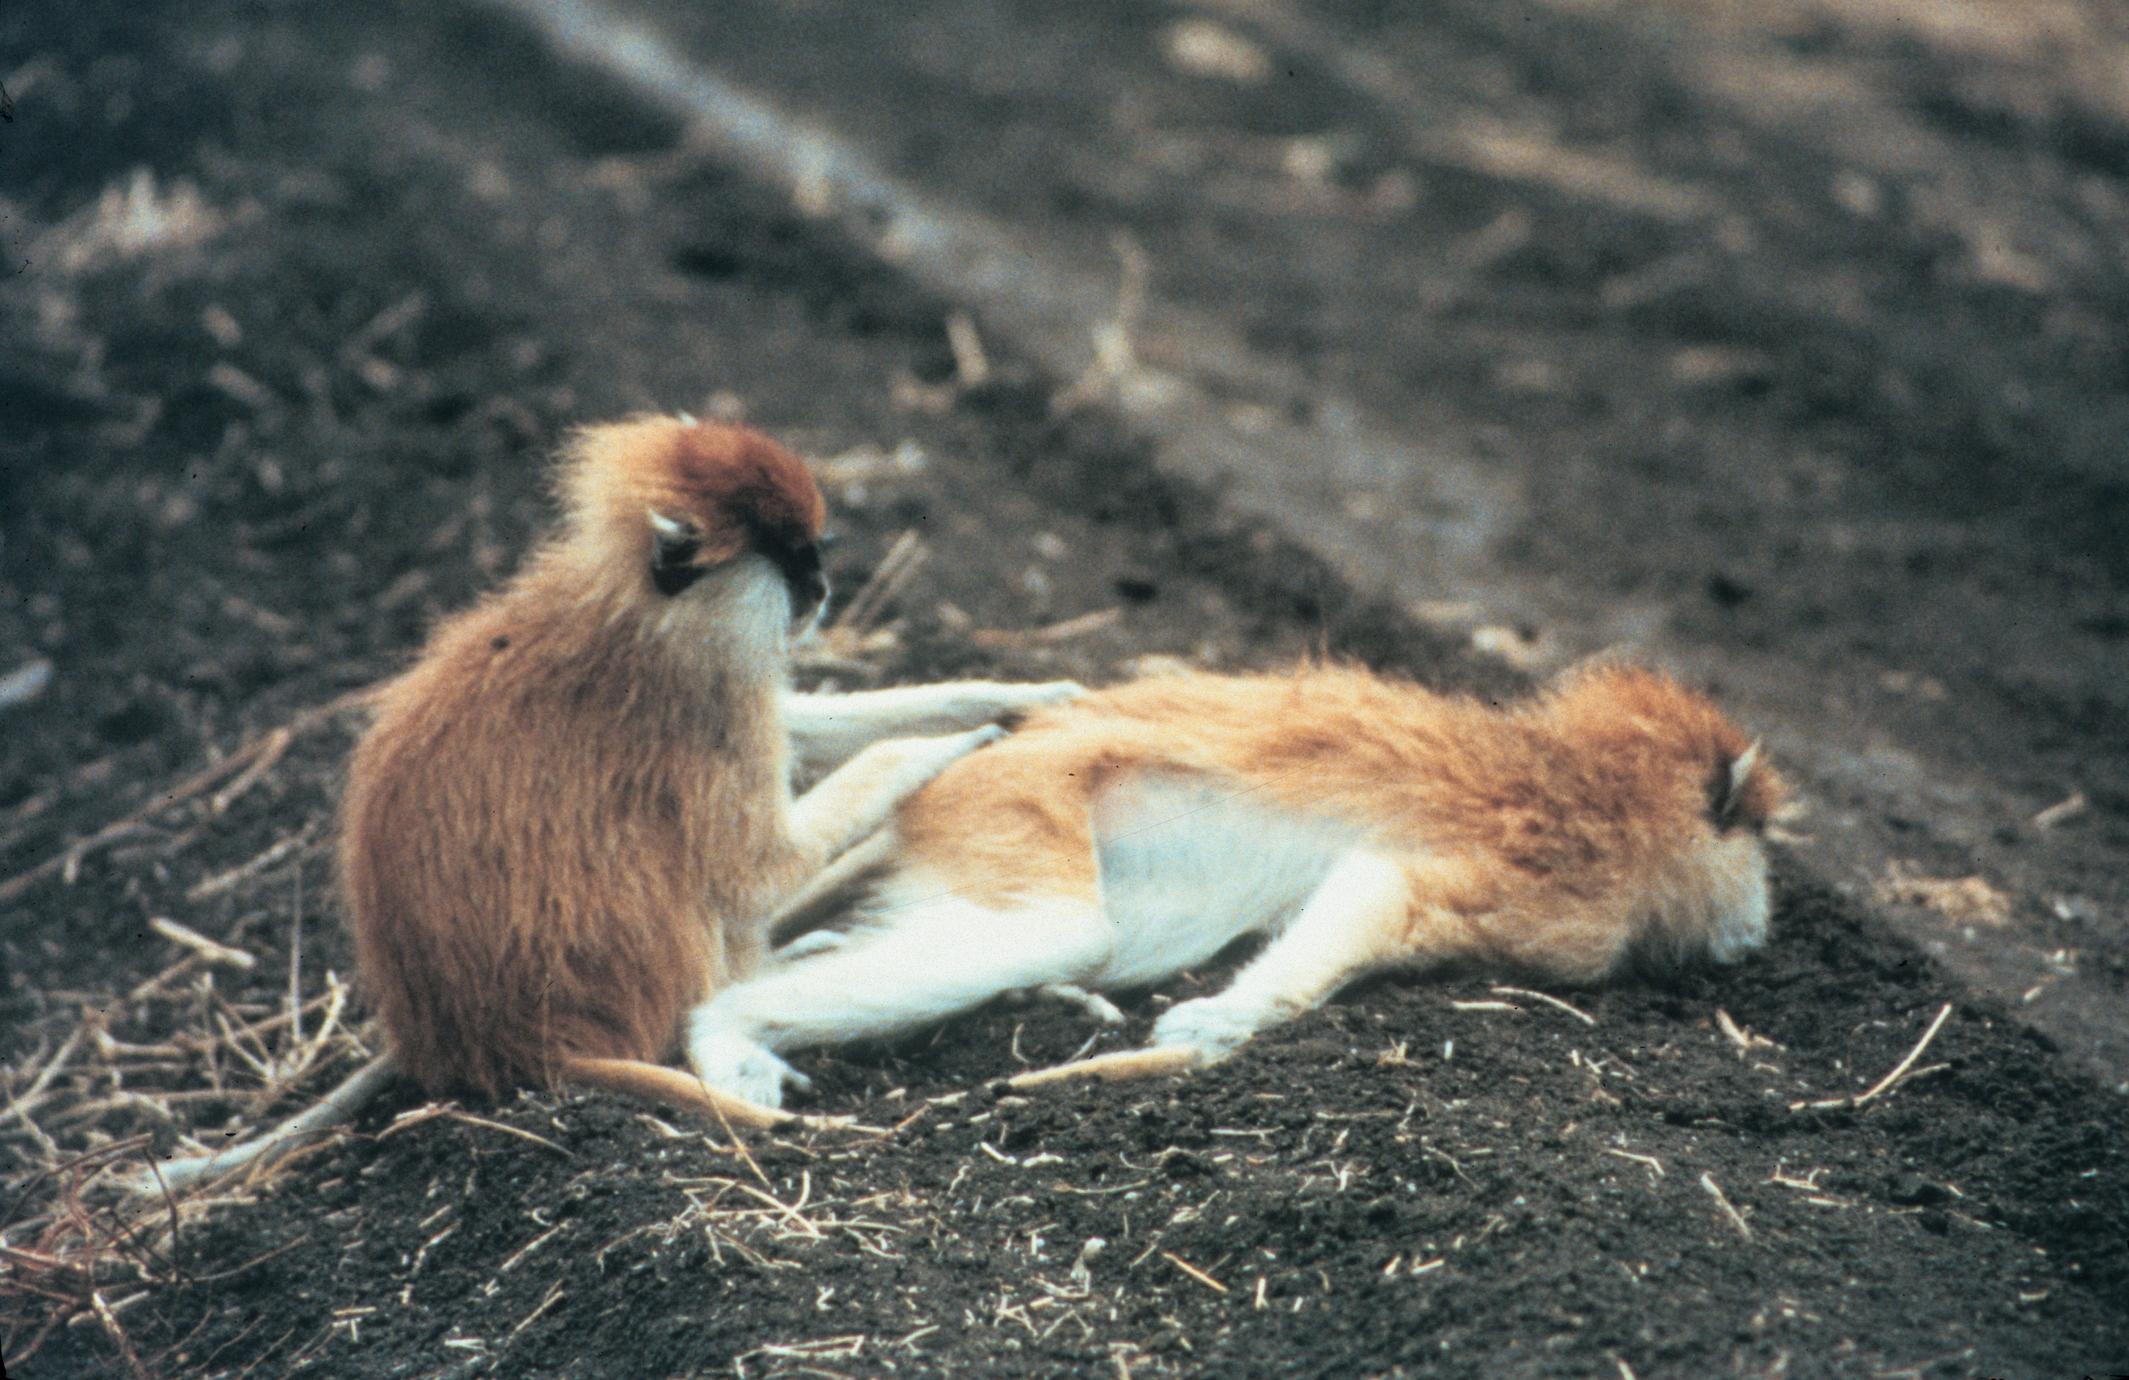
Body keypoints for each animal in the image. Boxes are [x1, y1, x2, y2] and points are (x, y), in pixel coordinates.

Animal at [140, 416, 1076, 1192]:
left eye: (814, 551)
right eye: (790, 559)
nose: (820, 591)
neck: (637, 612)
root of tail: (473, 1042)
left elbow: (805, 731)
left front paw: (1020, 695)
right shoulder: (702, 707)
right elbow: (755, 867)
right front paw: (935, 750)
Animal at [682, 660, 1783, 1103]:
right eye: (1758, 838)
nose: (1762, 921)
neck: (1592, 783)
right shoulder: (1562, 894)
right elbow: (1374, 892)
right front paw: (1223, 1022)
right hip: (1015, 805)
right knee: (1058, 929)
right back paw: (725, 1031)